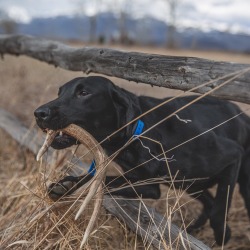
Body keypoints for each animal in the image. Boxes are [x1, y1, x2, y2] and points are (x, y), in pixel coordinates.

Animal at [34, 75, 250, 245]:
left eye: (84, 93)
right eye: (60, 93)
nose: (39, 113)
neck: (142, 129)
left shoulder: (233, 155)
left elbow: (218, 213)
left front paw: (223, 236)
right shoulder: (146, 182)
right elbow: (101, 180)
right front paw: (67, 185)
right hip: (187, 183)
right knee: (208, 201)